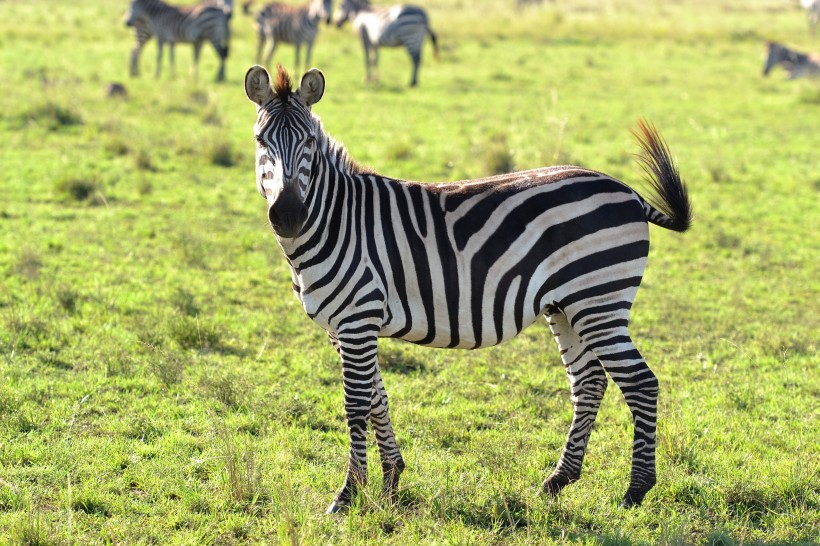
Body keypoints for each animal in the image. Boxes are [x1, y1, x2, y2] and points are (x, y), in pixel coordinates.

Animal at [243, 66, 692, 512]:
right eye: (261, 140)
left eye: (309, 142)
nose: (288, 215)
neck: (335, 220)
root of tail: (627, 191)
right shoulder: (344, 329)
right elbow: (376, 399)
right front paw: (391, 481)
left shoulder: (357, 319)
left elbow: (355, 405)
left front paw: (348, 494)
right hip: (566, 307)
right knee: (589, 382)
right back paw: (557, 480)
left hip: (599, 302)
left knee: (640, 382)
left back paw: (635, 489)